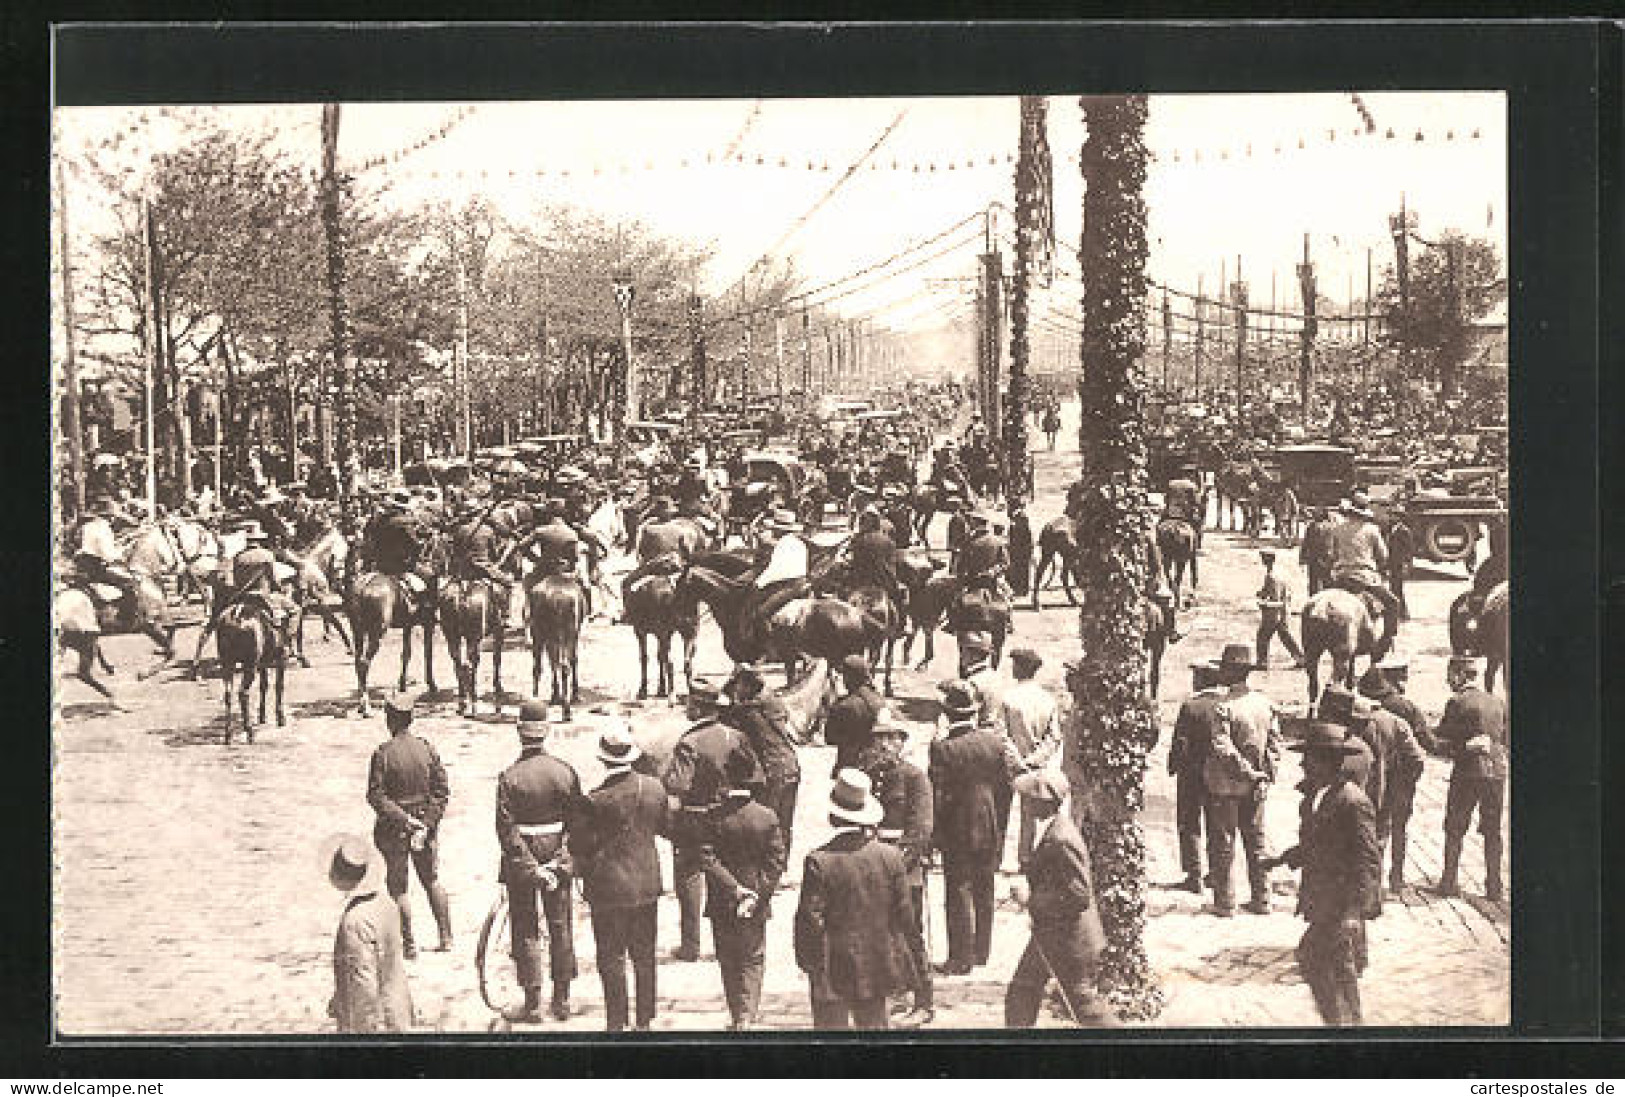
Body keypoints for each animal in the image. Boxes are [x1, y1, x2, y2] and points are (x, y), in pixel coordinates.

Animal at [216, 601, 292, 747]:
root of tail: (236, 615)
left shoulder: (262, 663)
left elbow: (264, 685)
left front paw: (262, 716)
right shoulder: (281, 658)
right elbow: (279, 686)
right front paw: (280, 717)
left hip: (227, 663)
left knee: (228, 694)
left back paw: (228, 734)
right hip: (249, 664)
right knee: (243, 693)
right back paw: (249, 731)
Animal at [438, 578, 507, 715]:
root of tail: (460, 597)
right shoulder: (498, 631)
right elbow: (497, 659)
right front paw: (498, 688)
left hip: (451, 636)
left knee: (458, 664)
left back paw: (462, 700)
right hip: (473, 637)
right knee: (470, 664)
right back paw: (473, 701)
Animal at [529, 575, 588, 721]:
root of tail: (558, 599)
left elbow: (553, 662)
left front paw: (556, 695)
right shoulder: (574, 633)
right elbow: (572, 660)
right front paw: (573, 695)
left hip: (541, 630)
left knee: (540, 665)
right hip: (563, 632)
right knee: (563, 665)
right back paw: (566, 710)